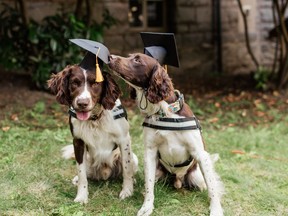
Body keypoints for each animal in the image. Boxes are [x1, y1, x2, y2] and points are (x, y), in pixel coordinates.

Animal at [47, 65, 137, 205]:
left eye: (95, 83)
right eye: (74, 83)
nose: (82, 103)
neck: (95, 118)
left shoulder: (124, 139)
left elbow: (127, 169)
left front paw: (127, 192)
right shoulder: (78, 142)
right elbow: (81, 173)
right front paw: (81, 197)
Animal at [109, 53, 224, 216]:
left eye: (137, 59)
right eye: (130, 56)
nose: (110, 57)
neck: (165, 112)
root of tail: (177, 179)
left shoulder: (201, 154)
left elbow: (212, 188)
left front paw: (216, 209)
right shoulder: (150, 153)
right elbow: (149, 186)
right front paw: (147, 207)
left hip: (196, 176)